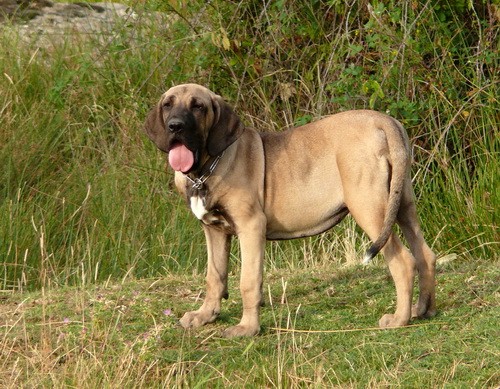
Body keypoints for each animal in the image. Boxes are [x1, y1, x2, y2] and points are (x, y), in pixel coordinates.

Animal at [143, 82, 436, 336]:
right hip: (402, 204)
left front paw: (247, 328)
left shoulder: (251, 226)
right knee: (425, 254)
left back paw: (399, 318)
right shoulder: (213, 231)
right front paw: (205, 315)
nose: (175, 126)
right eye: (168, 105)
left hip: (370, 208)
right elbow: (214, 277)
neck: (204, 170)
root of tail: (384, 121)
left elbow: (248, 281)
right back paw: (423, 310)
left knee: (403, 261)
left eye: (198, 106)